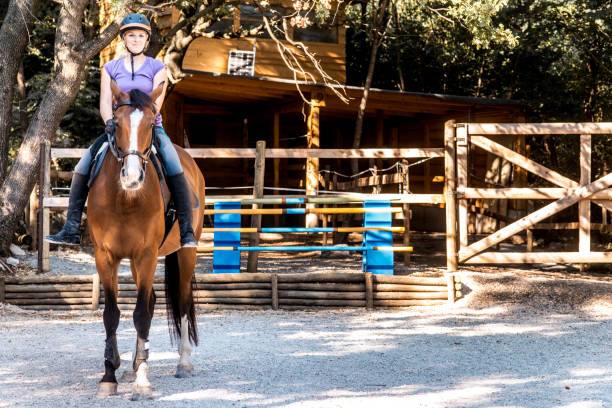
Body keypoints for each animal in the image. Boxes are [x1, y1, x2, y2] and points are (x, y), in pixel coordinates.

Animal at [87, 81, 206, 400]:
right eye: (116, 124)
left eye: (152, 124)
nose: (132, 176)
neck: (125, 198)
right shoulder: (105, 255)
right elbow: (112, 314)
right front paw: (110, 374)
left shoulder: (148, 254)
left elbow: (140, 314)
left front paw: (142, 382)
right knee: (152, 301)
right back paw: (133, 363)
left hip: (184, 253)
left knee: (182, 300)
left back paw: (183, 362)